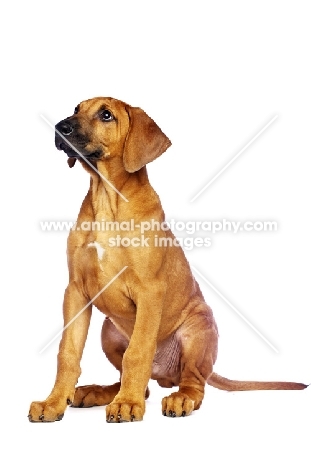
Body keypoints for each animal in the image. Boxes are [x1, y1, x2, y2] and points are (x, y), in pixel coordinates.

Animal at [28, 97, 308, 422]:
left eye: (106, 115)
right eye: (76, 109)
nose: (60, 127)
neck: (107, 200)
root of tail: (164, 373)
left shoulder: (150, 291)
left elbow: (138, 353)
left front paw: (128, 405)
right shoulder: (75, 291)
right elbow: (68, 352)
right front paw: (53, 403)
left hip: (198, 328)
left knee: (193, 383)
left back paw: (176, 399)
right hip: (109, 331)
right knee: (142, 385)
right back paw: (99, 392)